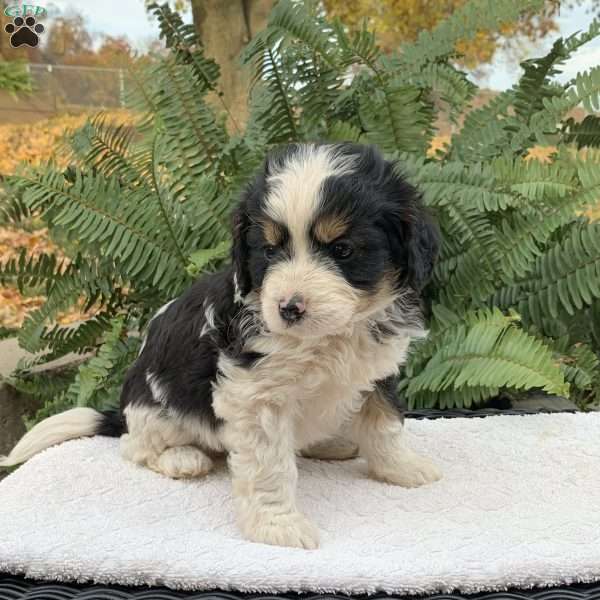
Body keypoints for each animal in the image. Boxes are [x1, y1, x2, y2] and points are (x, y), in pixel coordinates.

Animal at [0, 141, 440, 548]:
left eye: (343, 250)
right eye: (269, 250)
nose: (288, 308)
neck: (329, 337)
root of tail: (122, 411)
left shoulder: (378, 371)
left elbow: (384, 425)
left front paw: (402, 469)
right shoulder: (256, 397)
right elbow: (270, 468)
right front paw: (276, 525)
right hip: (156, 413)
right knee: (134, 446)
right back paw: (182, 458)